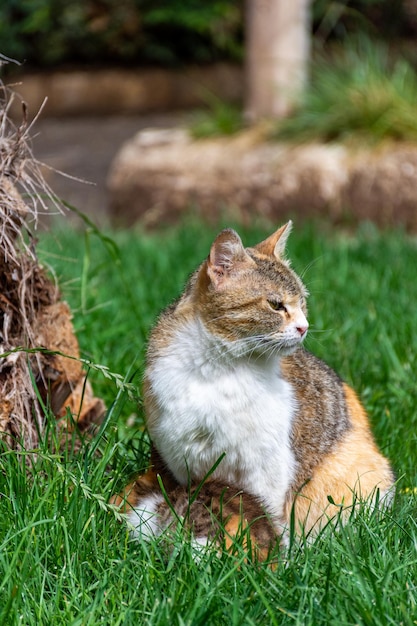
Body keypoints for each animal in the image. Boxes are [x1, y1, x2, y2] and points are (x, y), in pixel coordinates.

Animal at [114, 222, 394, 552]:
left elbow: (267, 511)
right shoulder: (184, 461)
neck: (219, 369)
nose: (304, 327)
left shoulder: (266, 469)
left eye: (302, 301)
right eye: (276, 304)